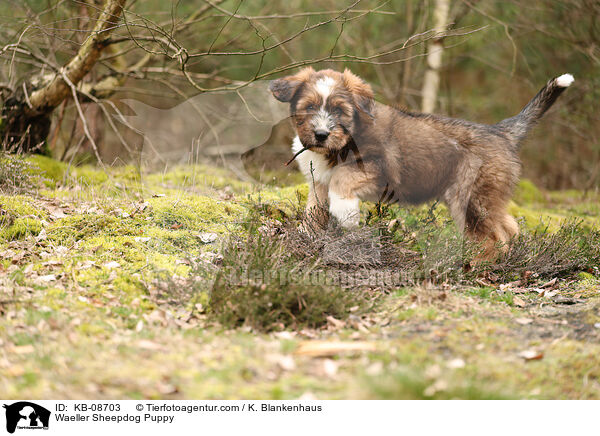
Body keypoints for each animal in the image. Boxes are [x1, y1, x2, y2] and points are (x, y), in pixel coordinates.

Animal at [268, 68, 572, 255]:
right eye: (309, 107)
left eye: (339, 110)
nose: (321, 135)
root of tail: (501, 131)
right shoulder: (318, 182)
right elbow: (313, 210)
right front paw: (304, 237)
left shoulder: (376, 166)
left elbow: (343, 180)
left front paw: (346, 212)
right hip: (485, 198)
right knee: (508, 227)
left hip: (473, 198)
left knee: (493, 237)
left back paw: (475, 267)